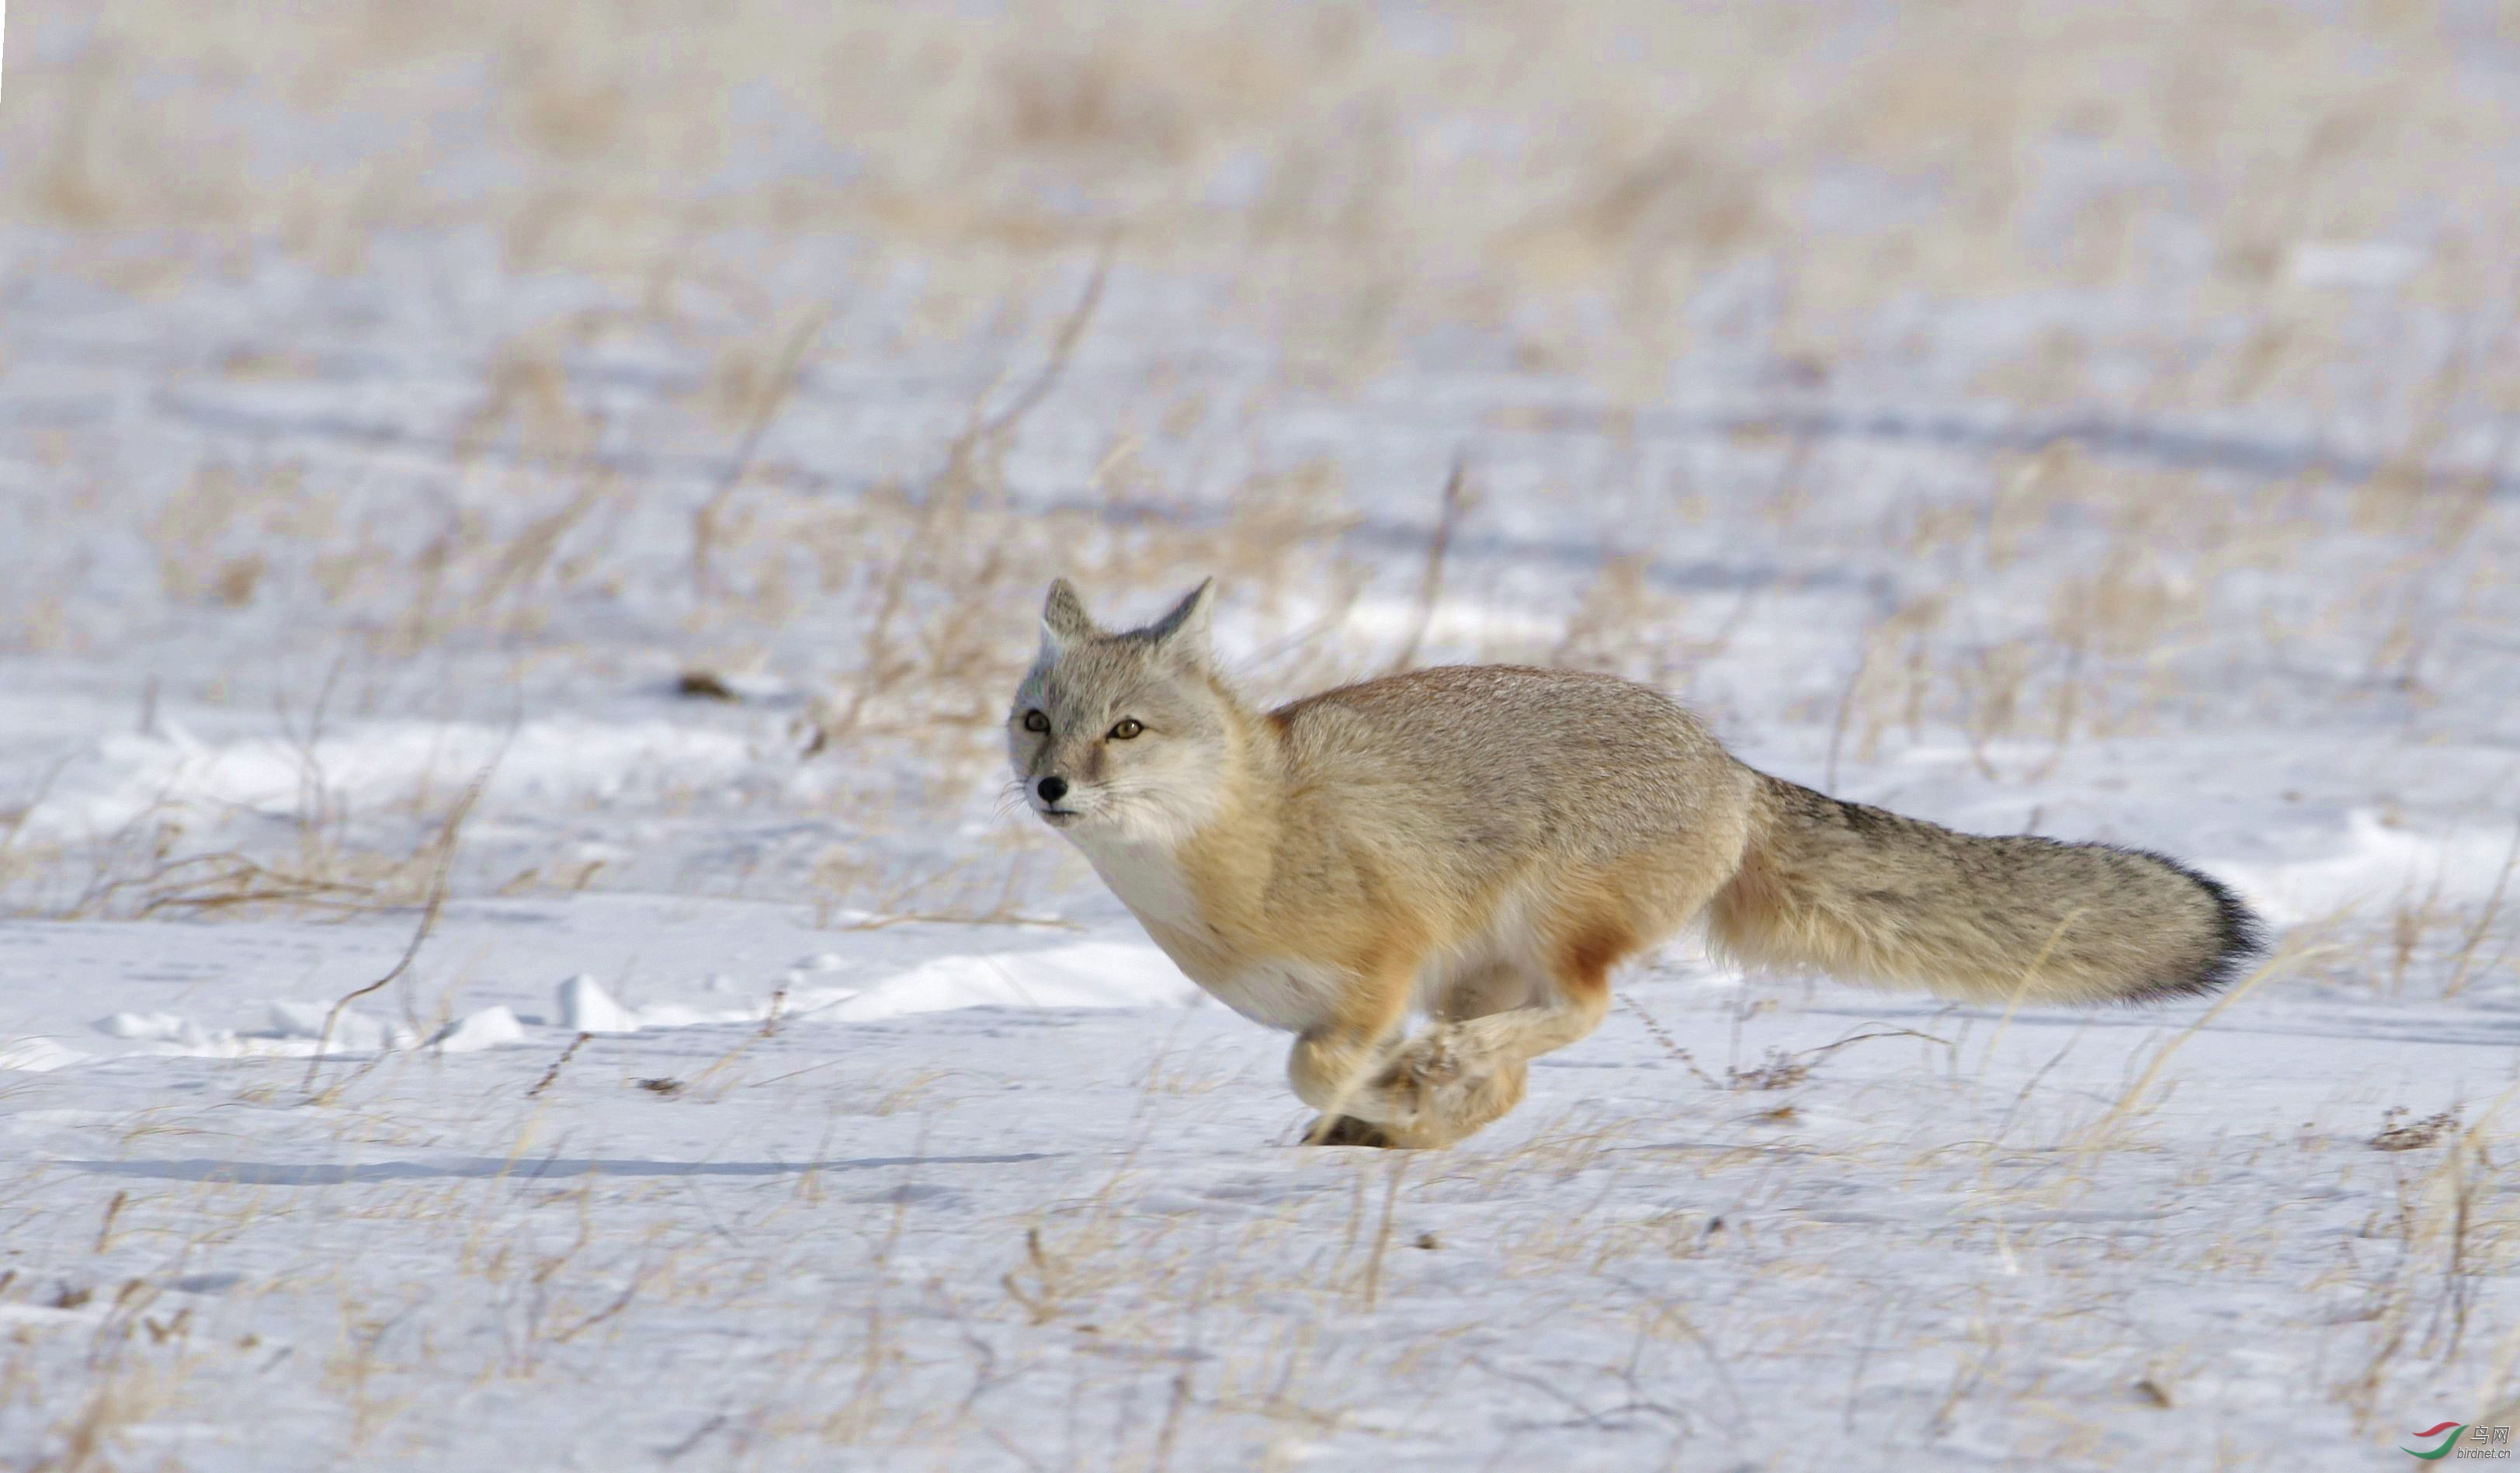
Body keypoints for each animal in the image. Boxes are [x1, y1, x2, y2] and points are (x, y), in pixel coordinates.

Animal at [1002, 577, 2268, 1150]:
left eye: (1125, 731)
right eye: (1038, 723)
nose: (1050, 788)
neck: (1237, 861)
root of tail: (1729, 763)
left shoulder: (1381, 971)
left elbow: (1319, 1069)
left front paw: (1392, 1094)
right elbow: (1343, 1078)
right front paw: (1399, 1110)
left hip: (1546, 931)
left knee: (1580, 1015)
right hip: (1490, 965)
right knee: (1519, 1067)